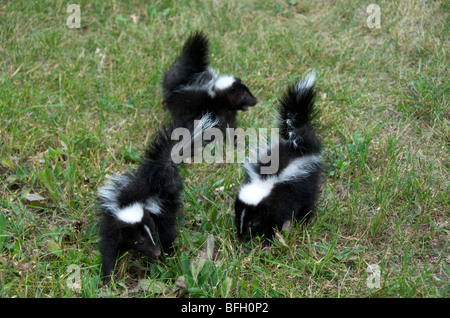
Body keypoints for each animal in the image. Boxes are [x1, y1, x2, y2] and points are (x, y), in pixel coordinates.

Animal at [98, 113, 218, 282]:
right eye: (139, 241)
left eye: (154, 234)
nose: (156, 252)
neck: (131, 202)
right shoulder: (112, 225)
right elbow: (109, 250)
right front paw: (110, 278)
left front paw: (158, 263)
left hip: (167, 208)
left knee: (169, 230)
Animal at [234, 73, 322, 243]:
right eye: (237, 219)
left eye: (253, 224)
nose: (242, 238)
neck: (264, 183)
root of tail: (296, 145)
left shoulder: (283, 198)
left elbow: (278, 219)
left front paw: (268, 240)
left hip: (308, 181)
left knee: (308, 202)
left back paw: (304, 220)